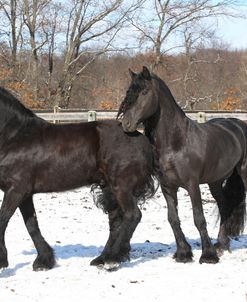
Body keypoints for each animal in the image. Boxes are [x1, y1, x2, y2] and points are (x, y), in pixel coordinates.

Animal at [0, 86, 156, 270]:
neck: (15, 136)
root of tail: (141, 139)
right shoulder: (24, 193)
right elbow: (31, 224)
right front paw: (44, 260)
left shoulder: (16, 190)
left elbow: (3, 220)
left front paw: (2, 261)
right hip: (108, 187)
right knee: (116, 221)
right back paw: (102, 258)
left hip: (121, 186)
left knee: (132, 215)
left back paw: (112, 259)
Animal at [118, 65, 246, 262]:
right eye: (129, 91)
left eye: (144, 92)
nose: (126, 123)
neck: (177, 143)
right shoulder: (168, 187)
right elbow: (173, 218)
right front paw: (183, 253)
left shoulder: (192, 185)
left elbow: (198, 218)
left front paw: (208, 256)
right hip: (215, 181)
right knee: (224, 205)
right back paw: (221, 244)